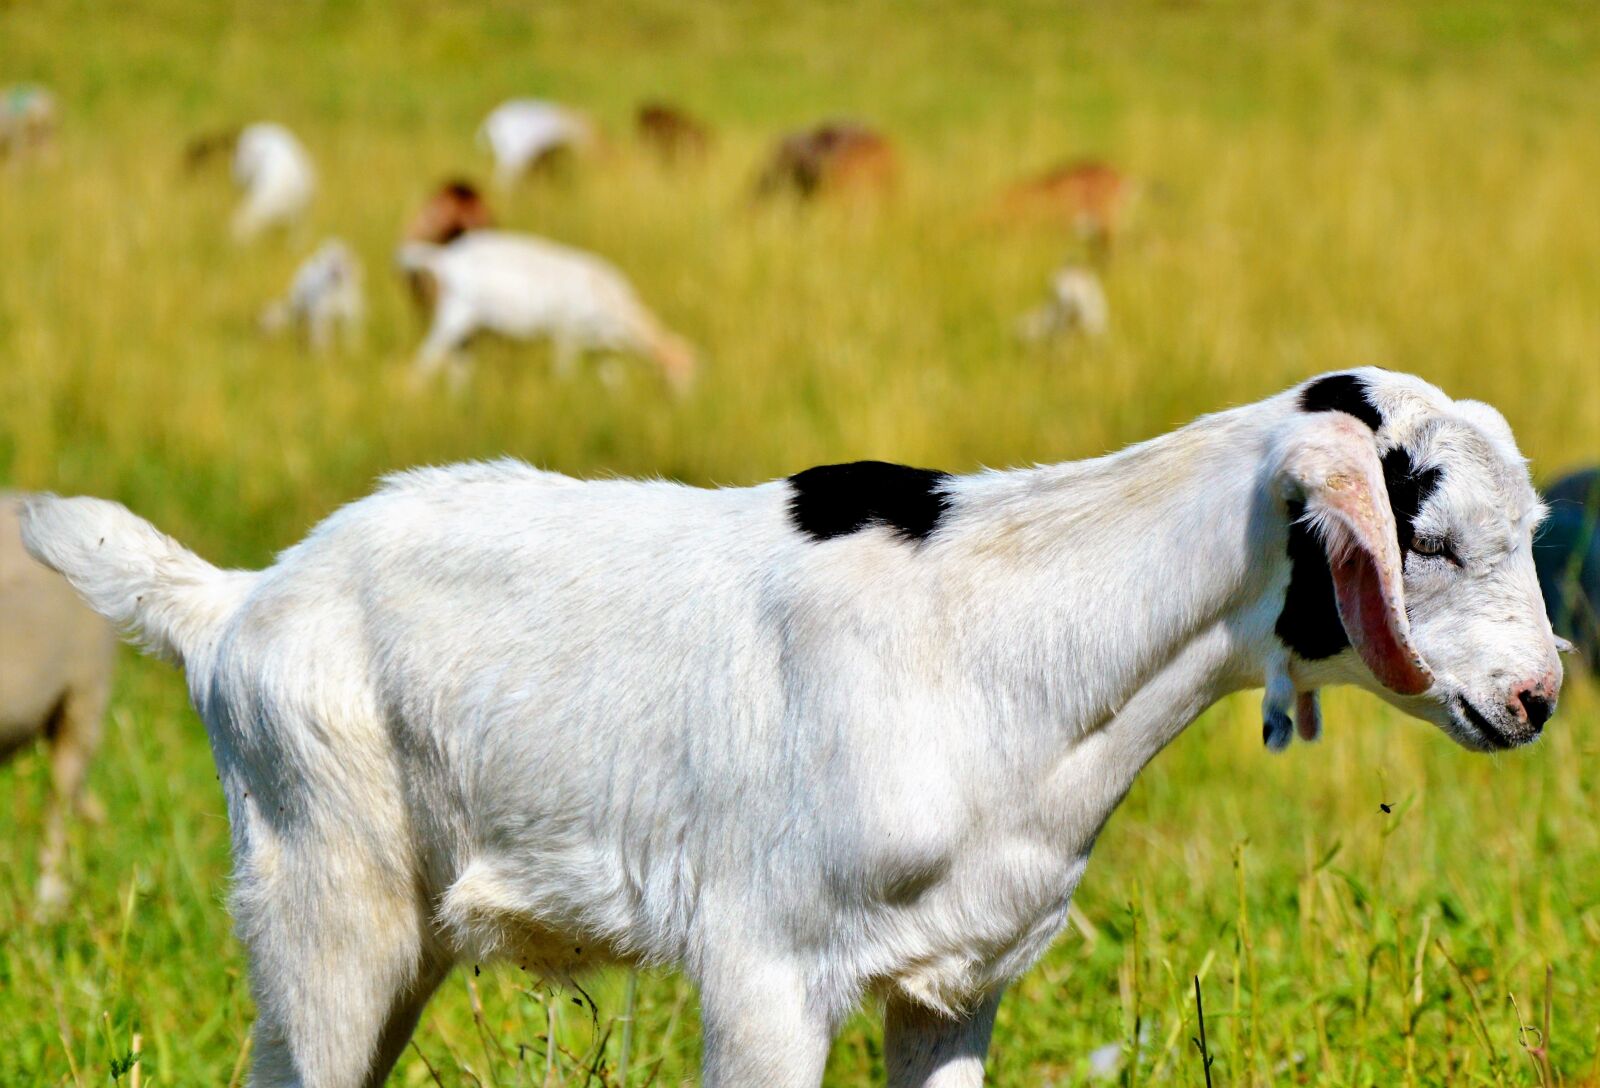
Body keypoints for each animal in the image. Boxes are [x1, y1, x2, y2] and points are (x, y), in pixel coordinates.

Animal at [20, 369, 1562, 1087]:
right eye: (1427, 535)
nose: (1538, 697)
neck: (1004, 633)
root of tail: (236, 603)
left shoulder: (958, 977)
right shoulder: (765, 964)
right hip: (324, 899)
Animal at [395, 230, 696, 390]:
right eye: (683, 379)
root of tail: (445, 259)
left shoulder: (599, 348)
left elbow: (613, 379)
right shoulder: (567, 335)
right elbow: (565, 373)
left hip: (469, 332)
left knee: (457, 369)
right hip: (454, 317)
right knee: (422, 365)